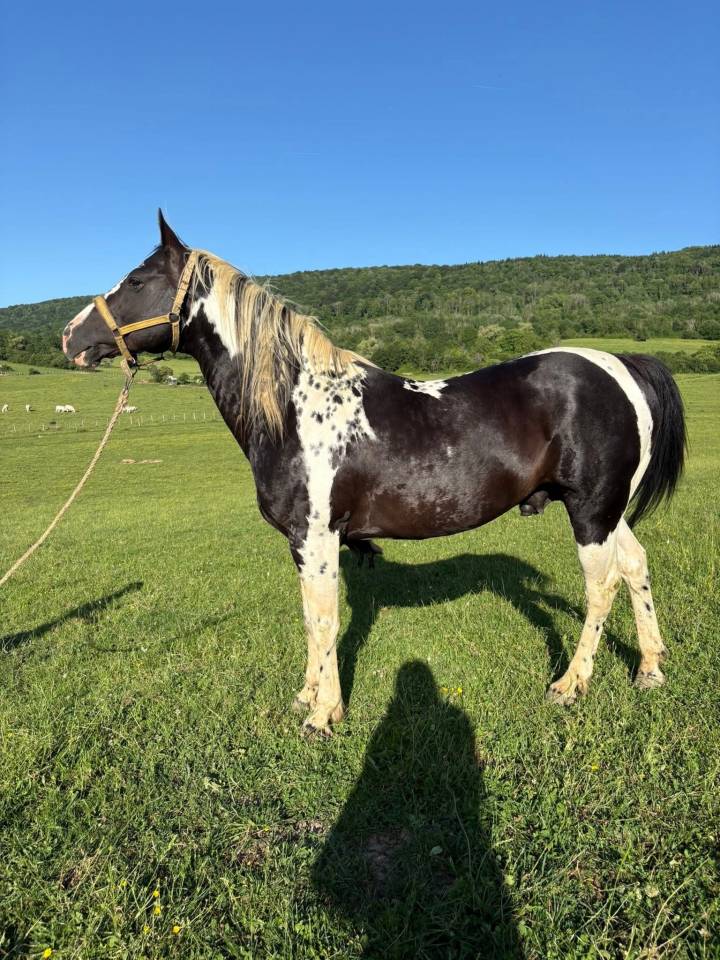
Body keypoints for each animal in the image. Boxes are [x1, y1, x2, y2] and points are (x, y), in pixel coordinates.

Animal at [62, 212, 686, 736]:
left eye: (136, 280)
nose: (70, 337)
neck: (295, 406)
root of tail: (618, 365)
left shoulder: (317, 538)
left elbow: (324, 620)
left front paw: (323, 715)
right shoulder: (304, 544)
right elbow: (311, 620)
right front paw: (309, 695)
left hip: (590, 512)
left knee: (602, 587)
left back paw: (571, 684)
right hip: (608, 511)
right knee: (636, 567)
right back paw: (650, 670)